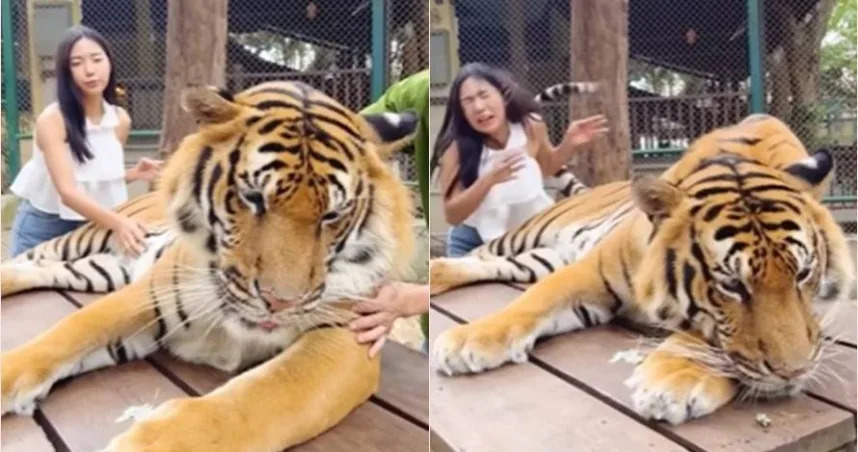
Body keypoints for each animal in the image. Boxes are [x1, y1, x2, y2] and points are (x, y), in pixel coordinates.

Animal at [0, 79, 420, 450]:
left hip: (98, 270)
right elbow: (66, 334)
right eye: (253, 197)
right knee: (29, 257)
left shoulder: (345, 337)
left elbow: (262, 399)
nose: (279, 302)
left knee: (37, 268)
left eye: (332, 214)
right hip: (86, 237)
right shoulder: (147, 295)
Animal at [432, 115, 852, 426]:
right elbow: (535, 300)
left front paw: (673, 380)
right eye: (732, 285)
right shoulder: (591, 271)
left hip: (539, 258)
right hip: (527, 234)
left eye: (802, 275)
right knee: (483, 252)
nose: (793, 373)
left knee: (488, 264)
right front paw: (468, 340)